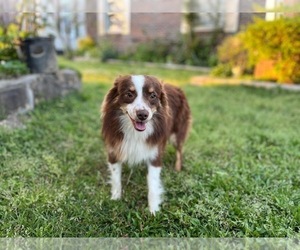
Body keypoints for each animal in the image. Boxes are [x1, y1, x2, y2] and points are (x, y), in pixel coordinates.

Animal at [100, 74, 190, 213]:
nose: (142, 115)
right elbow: (116, 178)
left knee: (179, 150)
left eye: (153, 96)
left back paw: (177, 168)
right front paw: (115, 198)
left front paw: (153, 211)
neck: (134, 132)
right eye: (129, 94)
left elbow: (152, 184)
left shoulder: (155, 153)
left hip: (178, 132)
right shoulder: (114, 149)